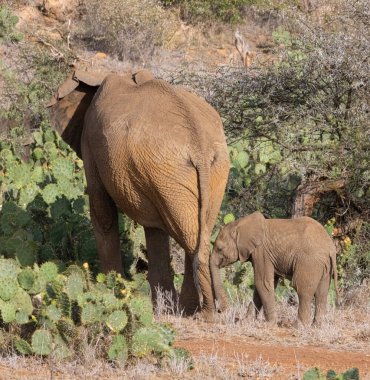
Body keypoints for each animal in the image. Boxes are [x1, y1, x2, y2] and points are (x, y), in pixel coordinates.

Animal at [47, 69, 230, 314]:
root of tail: (199, 148)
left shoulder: (90, 142)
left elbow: (102, 211)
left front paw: (110, 289)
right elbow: (154, 229)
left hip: (170, 171)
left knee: (190, 238)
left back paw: (199, 313)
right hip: (197, 172)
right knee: (196, 234)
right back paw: (196, 311)